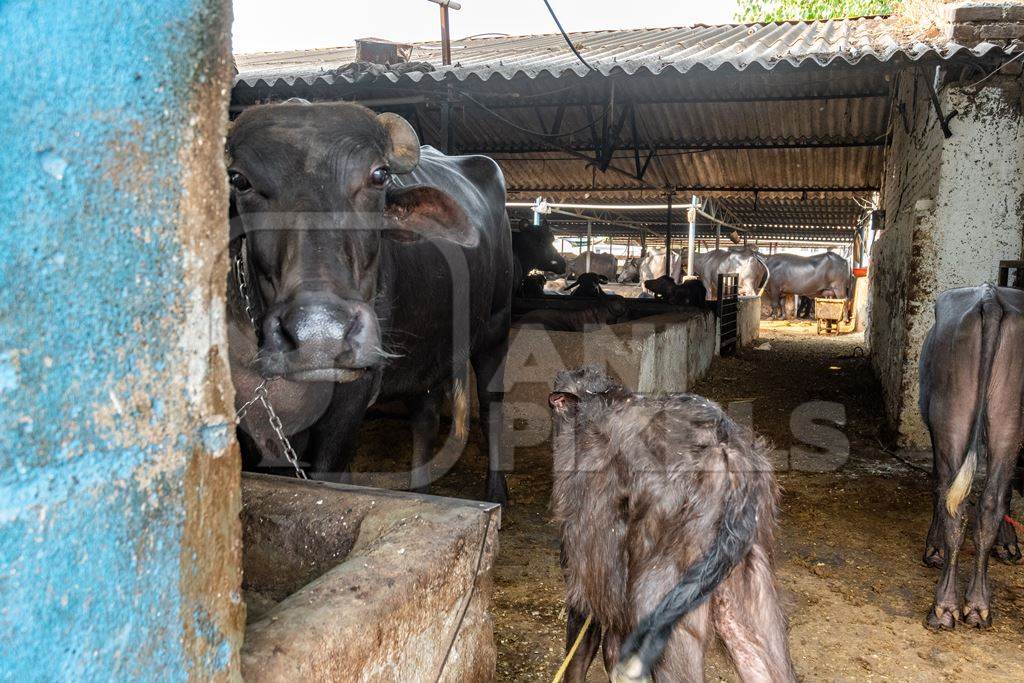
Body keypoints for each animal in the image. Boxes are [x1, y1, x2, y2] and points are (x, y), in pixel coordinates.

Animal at [226, 104, 509, 505]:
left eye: (379, 175)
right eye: (239, 180)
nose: (320, 333)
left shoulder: (352, 396)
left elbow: (329, 473)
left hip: (496, 328)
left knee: (490, 406)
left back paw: (496, 490)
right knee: (424, 416)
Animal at [921, 284, 1024, 630]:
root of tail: (990, 297)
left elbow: (939, 486)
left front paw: (934, 548)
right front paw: (1008, 544)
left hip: (950, 415)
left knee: (957, 504)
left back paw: (945, 608)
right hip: (1008, 418)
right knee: (990, 501)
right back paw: (978, 605)